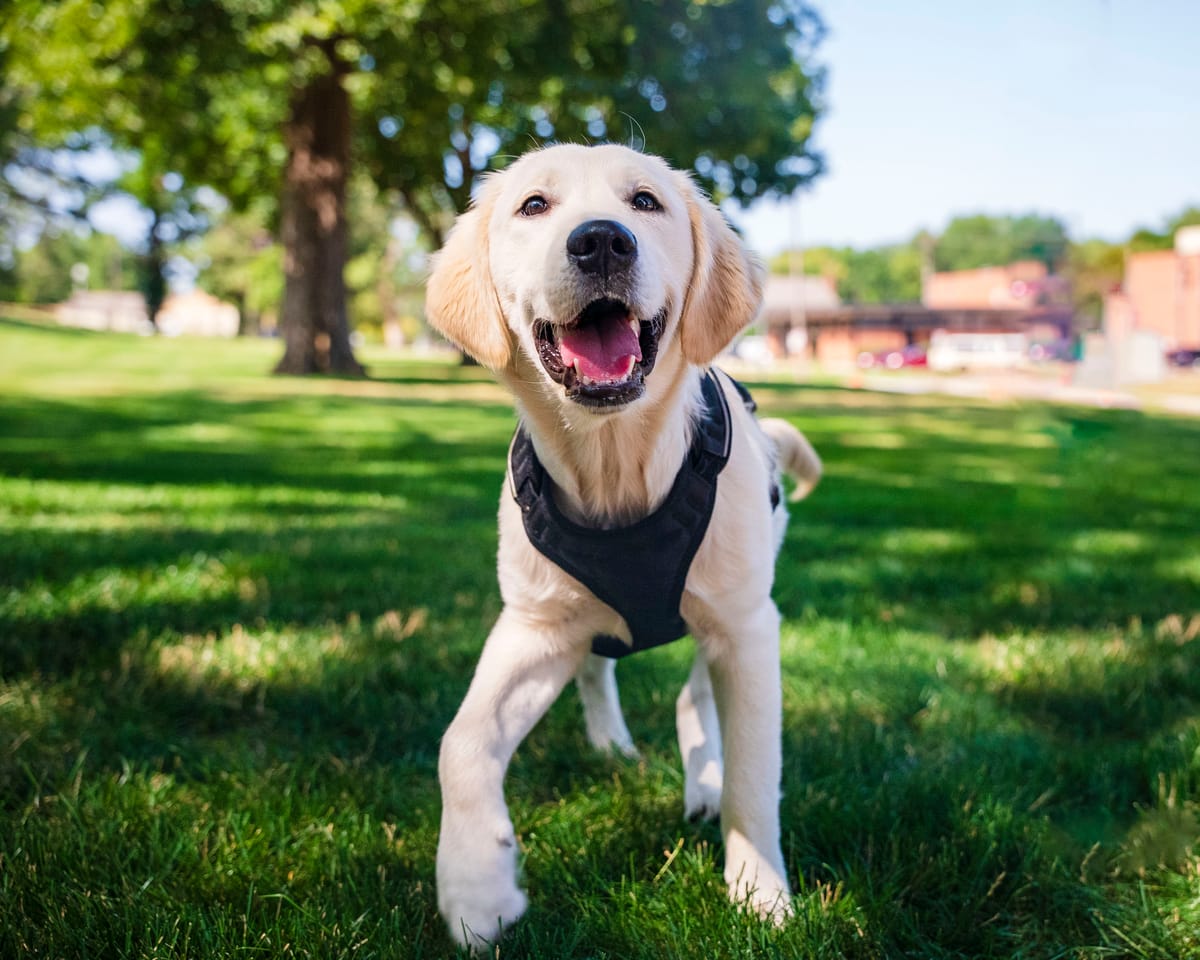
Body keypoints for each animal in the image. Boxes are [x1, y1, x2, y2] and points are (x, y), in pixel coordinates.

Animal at [420, 142, 816, 945]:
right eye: (534, 205)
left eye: (645, 202)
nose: (601, 241)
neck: (614, 466)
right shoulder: (533, 627)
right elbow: (461, 743)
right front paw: (476, 887)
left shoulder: (748, 630)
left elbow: (755, 776)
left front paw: (761, 893)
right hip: (575, 614)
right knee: (597, 666)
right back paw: (609, 741)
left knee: (694, 697)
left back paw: (701, 782)